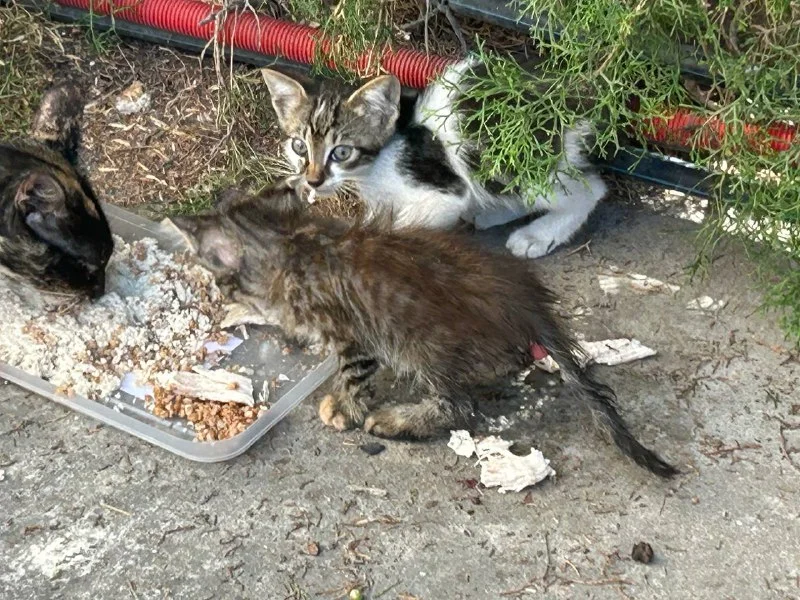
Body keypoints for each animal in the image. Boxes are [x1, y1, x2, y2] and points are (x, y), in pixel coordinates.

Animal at [172, 177, 676, 477]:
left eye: (219, 279)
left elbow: (353, 376)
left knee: (459, 405)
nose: (221, 295)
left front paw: (345, 408)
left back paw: (396, 420)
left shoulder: (355, 337)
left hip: (421, 345)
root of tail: (530, 305)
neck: (293, 240)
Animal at [261, 58, 608, 259]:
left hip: (518, 162)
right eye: (299, 146)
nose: (313, 180)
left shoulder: (442, 189)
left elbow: (408, 222)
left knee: (590, 190)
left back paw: (539, 234)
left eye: (342, 152)